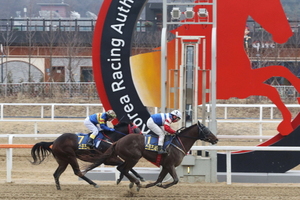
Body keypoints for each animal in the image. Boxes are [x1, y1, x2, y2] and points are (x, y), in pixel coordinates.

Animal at [84, 121, 218, 191]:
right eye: (206, 130)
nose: (216, 139)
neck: (178, 143)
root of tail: (118, 141)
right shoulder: (170, 165)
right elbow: (175, 180)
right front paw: (162, 186)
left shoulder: (166, 166)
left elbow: (159, 180)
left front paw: (152, 185)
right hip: (134, 157)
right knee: (124, 169)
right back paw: (137, 183)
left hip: (129, 158)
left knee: (121, 168)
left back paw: (133, 183)